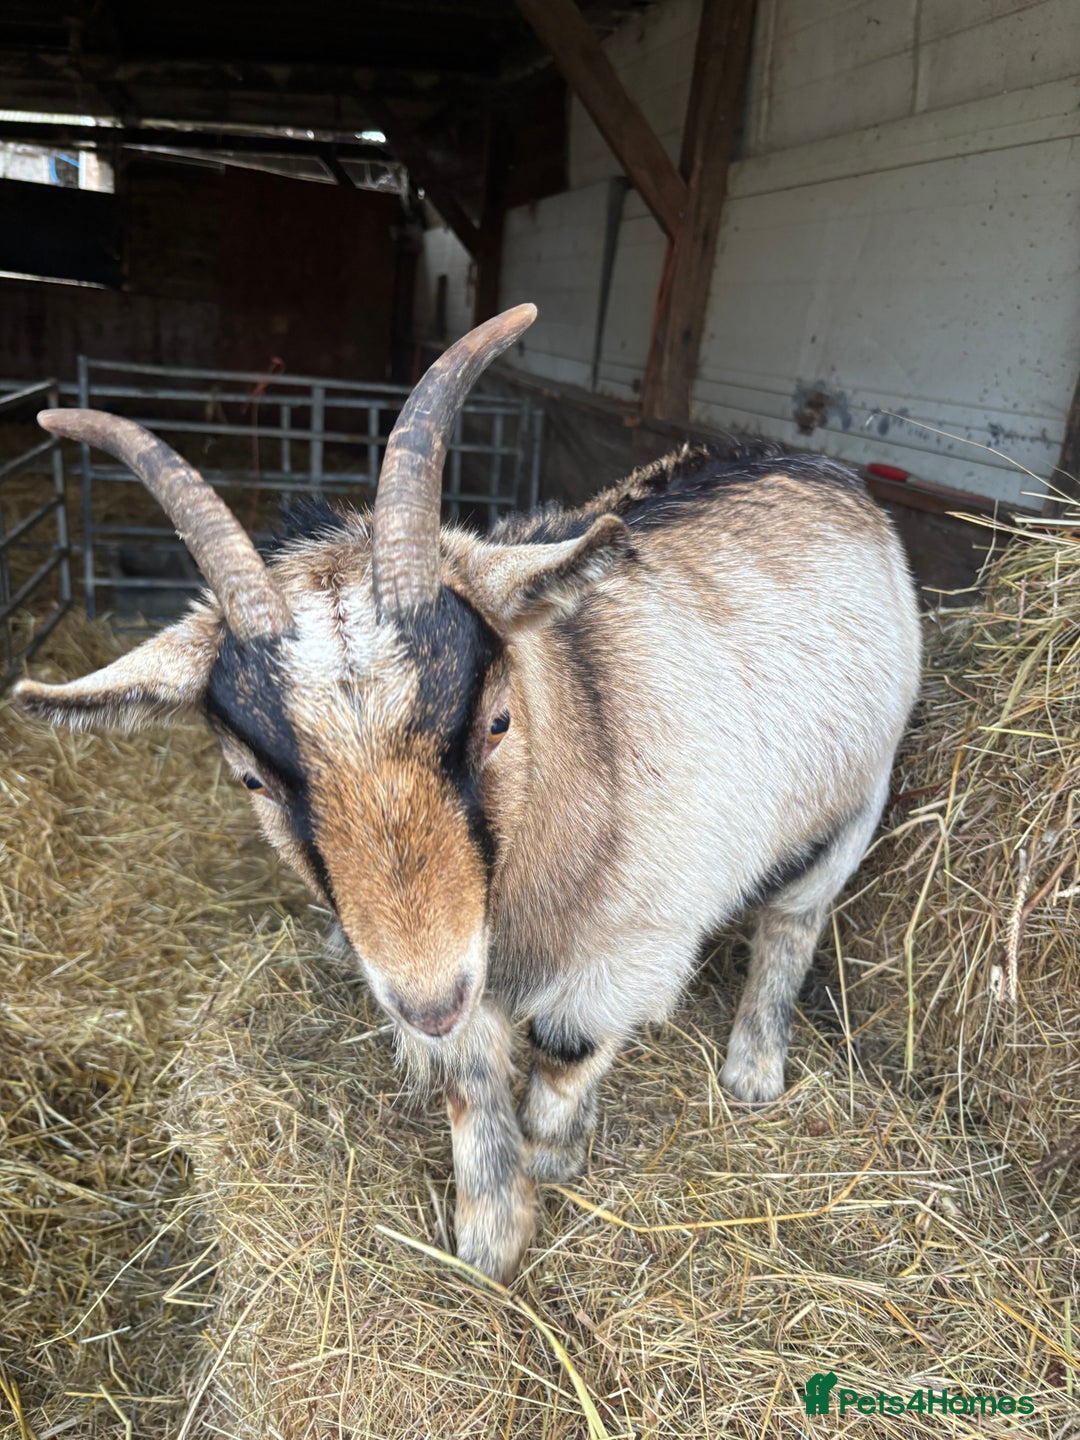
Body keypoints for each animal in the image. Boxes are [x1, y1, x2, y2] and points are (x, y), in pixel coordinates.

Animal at [17, 305, 921, 1283]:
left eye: (494, 723)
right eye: (252, 777)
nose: (431, 997)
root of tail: (810, 463)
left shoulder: (631, 946)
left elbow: (566, 1052)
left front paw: (556, 1154)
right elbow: (469, 1077)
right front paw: (490, 1234)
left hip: (856, 798)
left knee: (793, 920)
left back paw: (753, 1071)